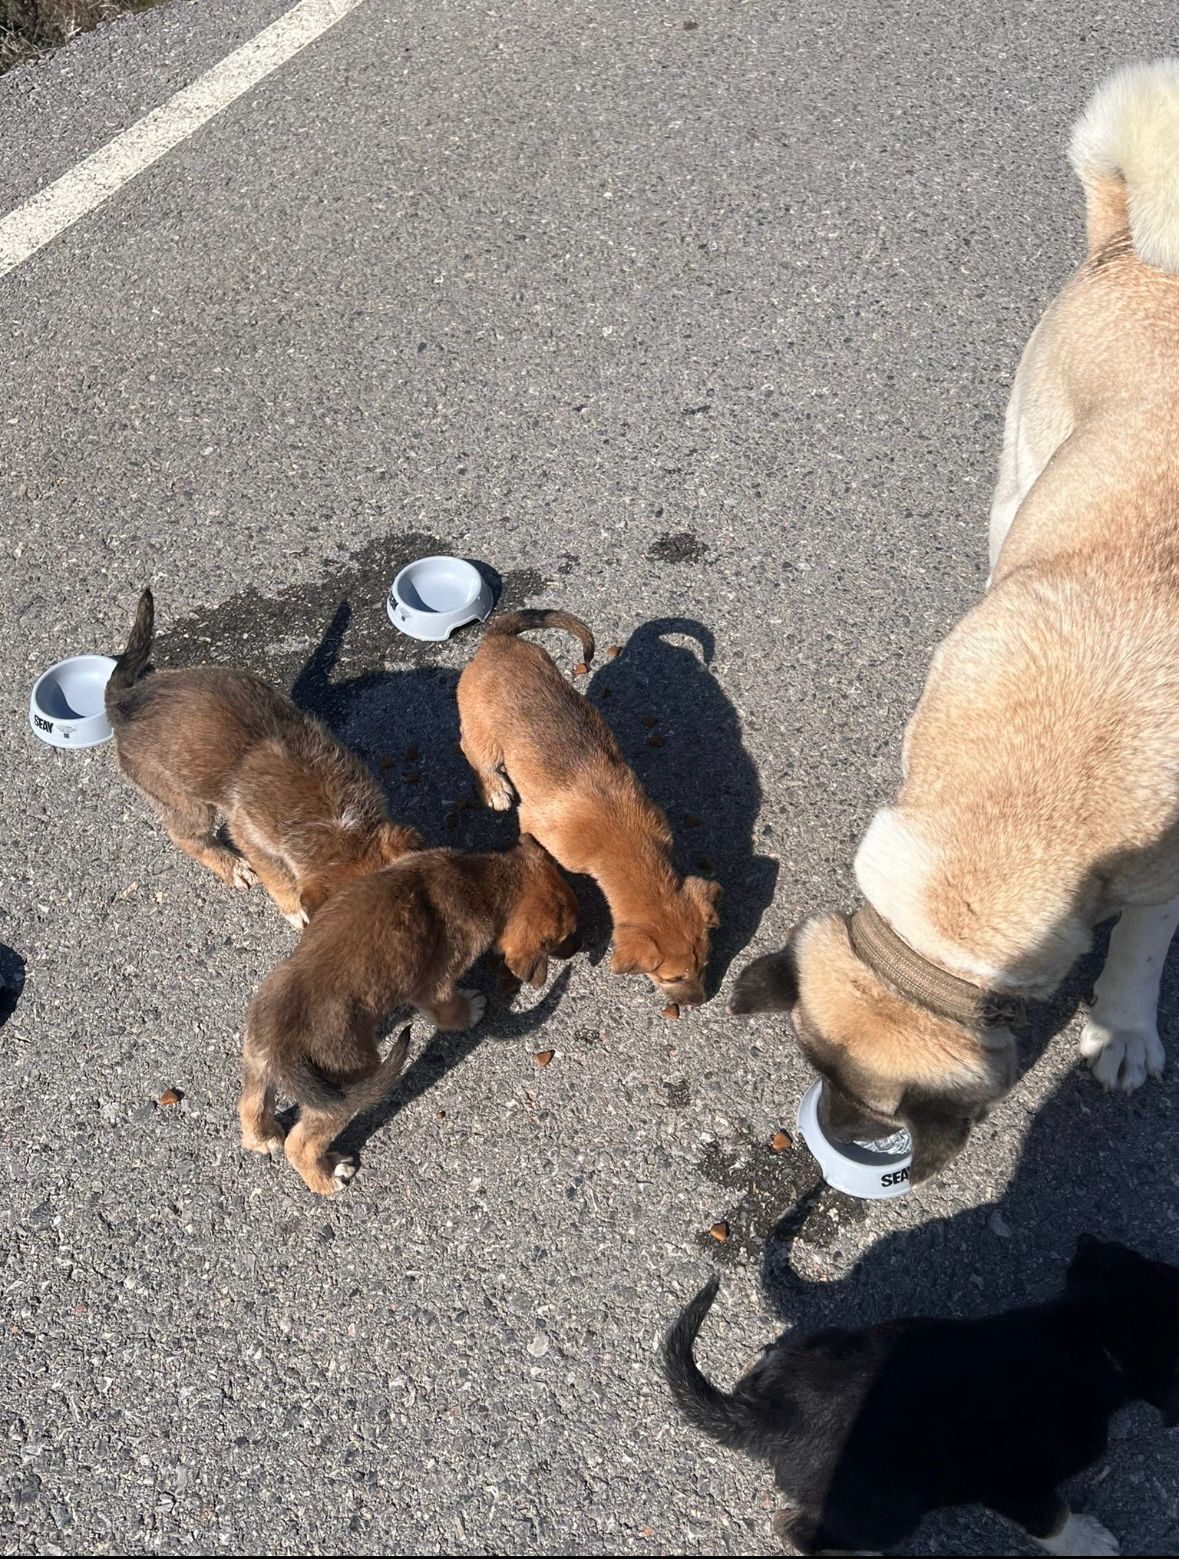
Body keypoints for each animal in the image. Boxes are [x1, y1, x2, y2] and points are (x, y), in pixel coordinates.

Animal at [103, 586, 421, 922]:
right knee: (186, 836)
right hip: (183, 801)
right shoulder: (250, 837)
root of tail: (124, 700)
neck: (335, 820)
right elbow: (279, 877)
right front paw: (295, 910)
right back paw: (232, 867)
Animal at [241, 841, 583, 1191]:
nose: (584, 943)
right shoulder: (434, 987)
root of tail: (279, 1043)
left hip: (257, 1062)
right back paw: (327, 1178)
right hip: (346, 1083)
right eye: (569, 933)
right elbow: (450, 1010)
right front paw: (471, 1010)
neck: (477, 880)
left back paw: (262, 1139)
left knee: (250, 1105)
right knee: (301, 1143)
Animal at [458, 601, 717, 1003]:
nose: (702, 1000)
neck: (623, 839)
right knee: (472, 751)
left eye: (704, 963)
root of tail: (496, 640)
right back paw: (495, 789)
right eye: (673, 977)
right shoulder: (536, 826)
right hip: (483, 738)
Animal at [664, 1240, 1179, 1559]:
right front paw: (1087, 1539)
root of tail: (769, 1414)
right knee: (797, 1531)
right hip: (887, 1509)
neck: (1088, 1337)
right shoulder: (1014, 1483)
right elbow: (1054, 1518)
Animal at [732, 60, 1179, 1178]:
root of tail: (1130, 246)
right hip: (1023, 471)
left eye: (875, 1110)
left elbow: (1137, 954)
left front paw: (1122, 1028)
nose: (841, 1137)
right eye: (816, 1069)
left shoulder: (1160, 882)